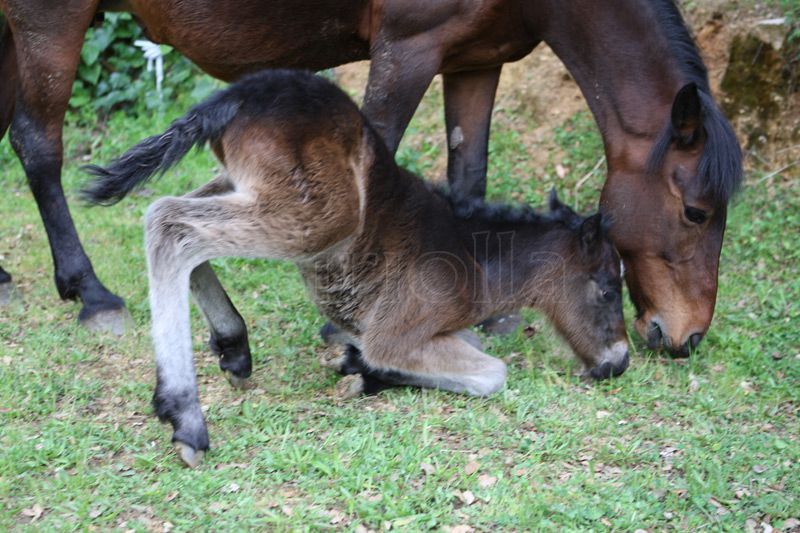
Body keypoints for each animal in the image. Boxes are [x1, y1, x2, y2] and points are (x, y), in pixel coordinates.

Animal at [0, 0, 741, 355]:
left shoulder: (476, 60)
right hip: (49, 19)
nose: (686, 337)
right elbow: (380, 148)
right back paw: (91, 292)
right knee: (37, 144)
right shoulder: (408, 48)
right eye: (696, 212)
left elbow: (469, 172)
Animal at [83, 69, 630, 467]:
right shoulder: (398, 329)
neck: (476, 261)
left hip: (243, 188)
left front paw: (356, 366)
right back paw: (186, 417)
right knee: (169, 223)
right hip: (316, 218)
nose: (619, 363)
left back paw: (234, 348)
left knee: (182, 226)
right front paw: (362, 369)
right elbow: (491, 373)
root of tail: (239, 95)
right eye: (607, 289)